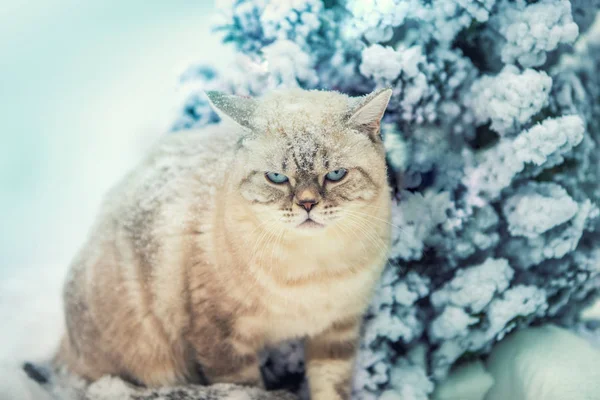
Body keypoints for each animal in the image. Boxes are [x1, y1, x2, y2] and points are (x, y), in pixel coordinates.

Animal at [55, 88, 394, 400]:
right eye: (276, 178)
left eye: (335, 174)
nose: (307, 204)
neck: (312, 269)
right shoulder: (222, 339)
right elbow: (245, 389)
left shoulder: (336, 332)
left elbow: (331, 390)